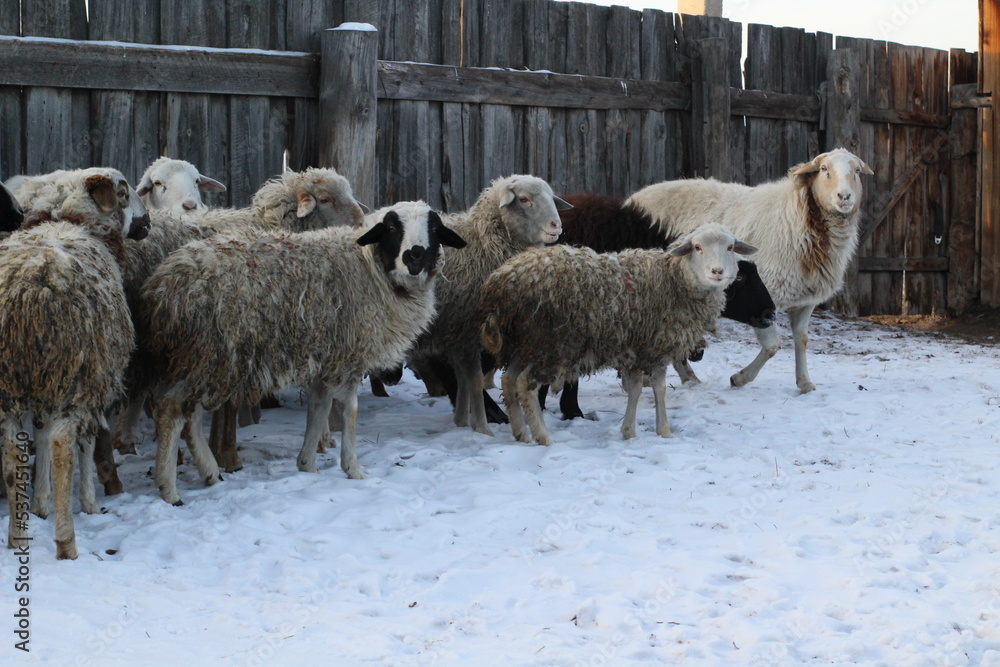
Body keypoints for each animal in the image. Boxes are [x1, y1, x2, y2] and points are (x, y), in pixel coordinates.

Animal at [1, 172, 147, 559]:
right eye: (123, 192)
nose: (147, 222)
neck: (67, 220)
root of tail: (29, 291)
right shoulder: (95, 373)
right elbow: (87, 440)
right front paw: (90, 503)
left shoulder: (44, 383)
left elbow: (37, 433)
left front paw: (39, 502)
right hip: (75, 370)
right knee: (62, 444)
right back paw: (67, 542)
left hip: (11, 381)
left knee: (13, 451)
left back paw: (16, 536)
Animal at [140, 200, 466, 505]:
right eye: (390, 228)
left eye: (434, 228)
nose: (415, 256)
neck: (370, 267)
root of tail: (166, 283)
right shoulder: (347, 357)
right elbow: (349, 411)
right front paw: (353, 468)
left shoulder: (326, 358)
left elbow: (319, 408)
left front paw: (307, 464)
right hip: (209, 353)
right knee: (171, 411)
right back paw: (169, 489)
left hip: (201, 359)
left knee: (190, 416)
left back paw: (209, 472)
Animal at [410, 174, 570, 436]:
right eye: (523, 199)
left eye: (551, 197)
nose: (556, 226)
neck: (482, 245)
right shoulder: (466, 329)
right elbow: (474, 380)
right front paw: (483, 428)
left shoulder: (457, 334)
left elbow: (463, 380)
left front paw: (462, 422)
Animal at [480, 223, 756, 447]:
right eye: (697, 247)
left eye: (730, 247)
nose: (717, 272)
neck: (673, 280)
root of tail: (502, 281)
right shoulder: (653, 347)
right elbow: (652, 389)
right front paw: (654, 431)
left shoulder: (639, 348)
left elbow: (644, 389)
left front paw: (640, 432)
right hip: (549, 344)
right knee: (524, 384)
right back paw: (542, 437)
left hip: (523, 342)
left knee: (508, 380)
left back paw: (520, 432)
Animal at [626, 148, 874, 393]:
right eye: (824, 169)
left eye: (857, 171)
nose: (844, 197)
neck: (800, 221)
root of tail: (633, 198)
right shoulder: (765, 298)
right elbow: (772, 346)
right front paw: (740, 378)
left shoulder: (805, 301)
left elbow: (801, 340)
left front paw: (804, 382)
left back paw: (687, 378)